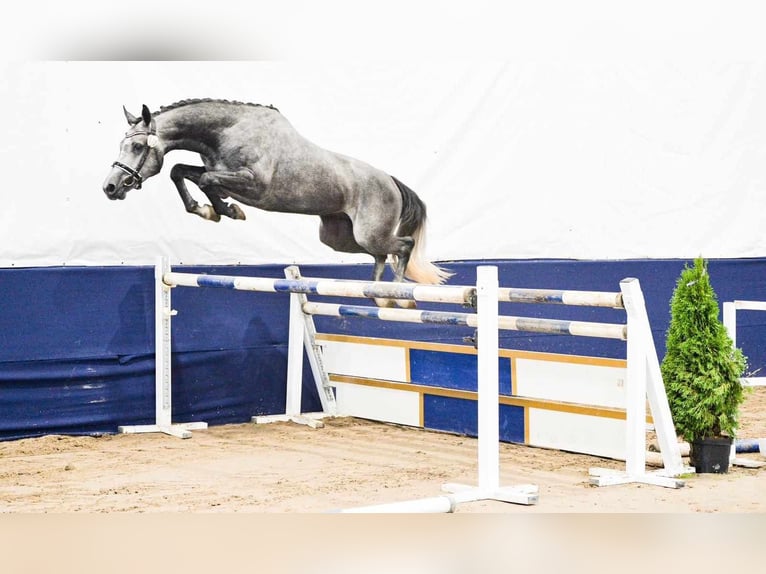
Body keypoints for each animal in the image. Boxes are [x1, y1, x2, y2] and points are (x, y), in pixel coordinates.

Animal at [102, 99, 450, 308]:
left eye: (137, 146)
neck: (226, 131)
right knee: (380, 254)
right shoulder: (217, 170)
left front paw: (224, 209)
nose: (110, 187)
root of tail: (391, 181)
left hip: (368, 232)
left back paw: (400, 297)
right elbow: (181, 171)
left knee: (402, 245)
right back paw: (380, 296)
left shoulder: (253, 183)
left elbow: (206, 181)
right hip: (340, 238)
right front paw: (213, 210)